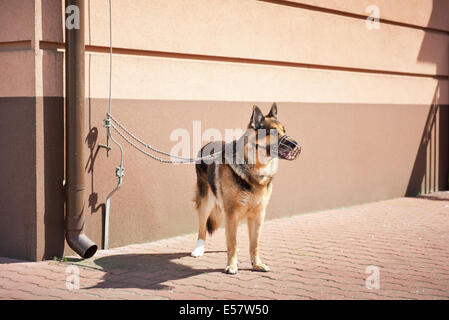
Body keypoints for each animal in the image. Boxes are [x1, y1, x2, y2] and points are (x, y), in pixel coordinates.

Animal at [191, 104, 300, 274]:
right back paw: (198, 249)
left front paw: (256, 264)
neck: (254, 167)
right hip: (206, 201)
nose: (296, 145)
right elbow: (232, 242)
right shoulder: (232, 213)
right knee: (202, 227)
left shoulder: (257, 215)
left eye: (284, 130)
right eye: (274, 132)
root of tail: (208, 144)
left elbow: (254, 244)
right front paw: (231, 265)